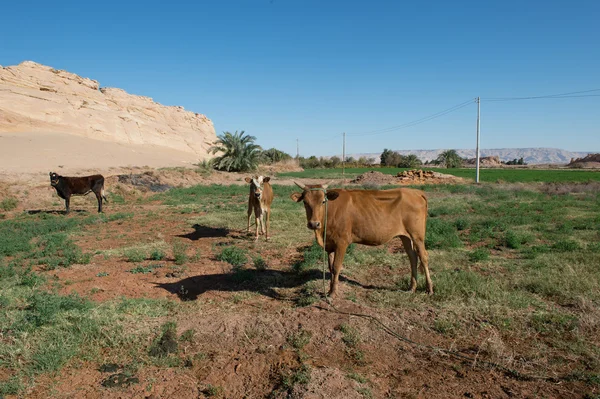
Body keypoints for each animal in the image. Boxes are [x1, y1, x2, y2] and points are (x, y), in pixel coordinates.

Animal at [290, 183, 432, 296]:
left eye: (323, 201)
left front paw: (333, 293)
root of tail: (416, 192)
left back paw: (429, 289)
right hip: (405, 236)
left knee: (423, 257)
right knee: (413, 257)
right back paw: (412, 288)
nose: (314, 224)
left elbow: (336, 267)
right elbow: (330, 268)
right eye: (305, 202)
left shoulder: (342, 242)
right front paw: (330, 289)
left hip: (417, 235)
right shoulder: (329, 243)